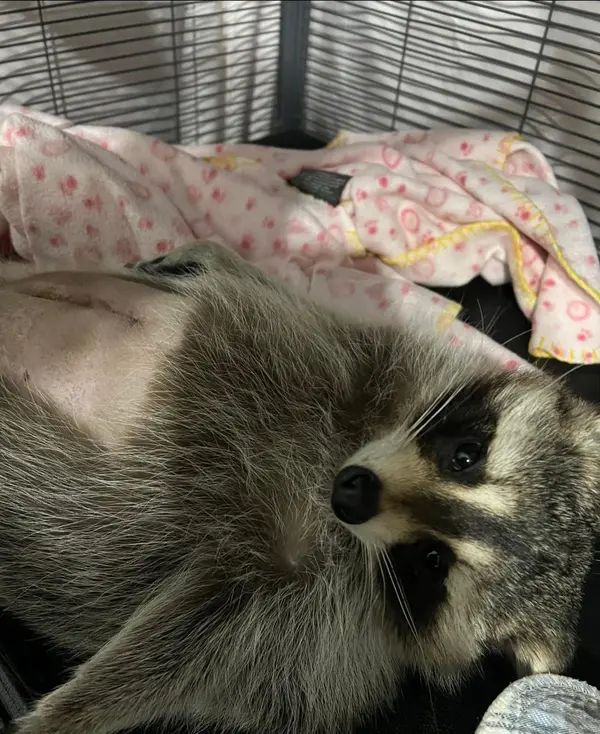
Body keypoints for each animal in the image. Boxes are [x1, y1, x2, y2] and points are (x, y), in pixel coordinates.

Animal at [0, 241, 597, 734]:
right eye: (466, 456)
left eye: (432, 561)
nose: (350, 492)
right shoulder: (370, 359)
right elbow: (290, 300)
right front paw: (213, 252)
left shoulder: (309, 633)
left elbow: (186, 650)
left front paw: (67, 711)